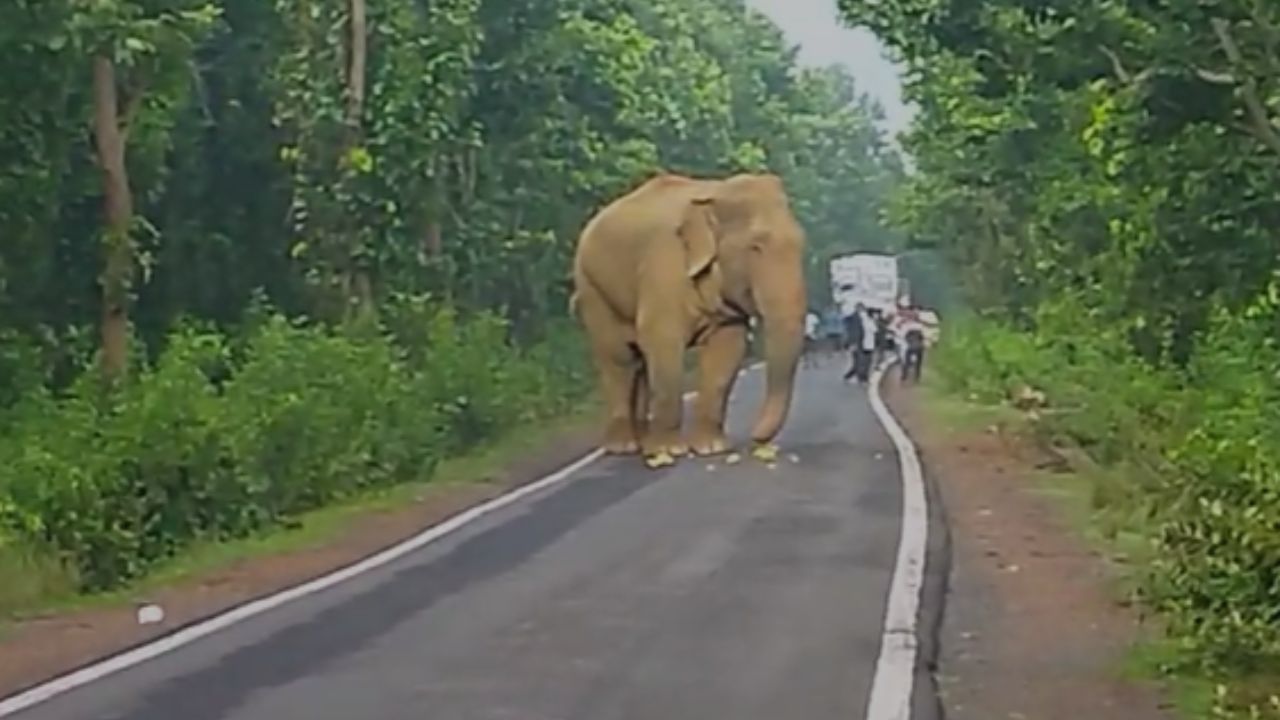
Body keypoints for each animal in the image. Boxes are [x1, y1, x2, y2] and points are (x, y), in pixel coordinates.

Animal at [568, 172, 803, 466]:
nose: (756, 439)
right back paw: (624, 447)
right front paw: (669, 451)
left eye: (802, 243)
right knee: (619, 358)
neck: (717, 192)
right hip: (591, 288)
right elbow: (663, 342)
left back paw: (643, 442)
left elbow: (728, 347)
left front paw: (711, 448)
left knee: (639, 361)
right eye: (756, 246)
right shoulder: (663, 263)